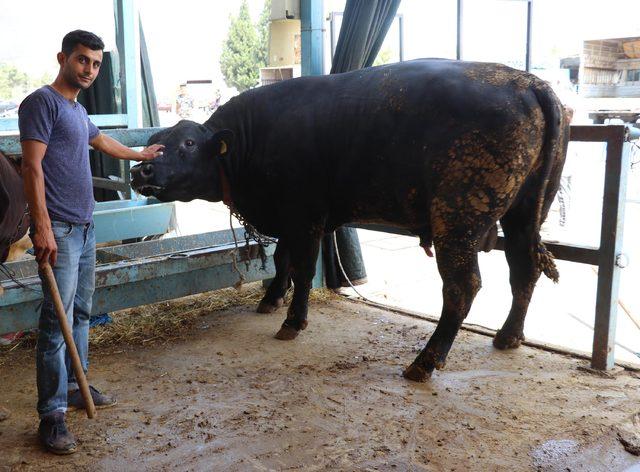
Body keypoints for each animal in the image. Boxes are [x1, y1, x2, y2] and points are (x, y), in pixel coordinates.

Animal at [131, 60, 568, 384]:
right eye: (153, 140)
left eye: (188, 143)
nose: (141, 171)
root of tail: (526, 81)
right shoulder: (292, 217)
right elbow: (282, 260)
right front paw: (271, 298)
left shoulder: (304, 213)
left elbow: (302, 268)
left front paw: (293, 320)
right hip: (524, 216)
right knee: (524, 270)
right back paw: (508, 336)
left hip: (457, 220)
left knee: (463, 288)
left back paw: (424, 362)